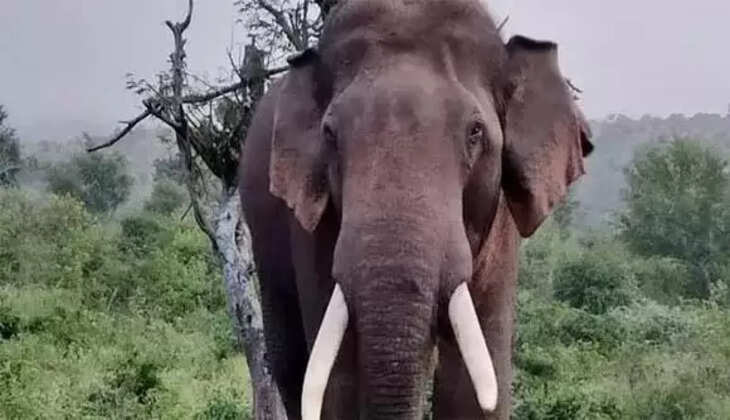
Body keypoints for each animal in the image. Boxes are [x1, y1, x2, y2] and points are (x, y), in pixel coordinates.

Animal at [239, 0, 594, 419]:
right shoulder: (314, 224)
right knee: (291, 364)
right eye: (329, 134)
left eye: (475, 132)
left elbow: (473, 383)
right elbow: (337, 381)